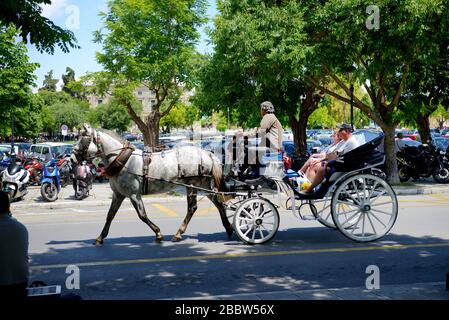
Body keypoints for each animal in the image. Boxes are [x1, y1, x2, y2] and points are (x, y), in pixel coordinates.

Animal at [72, 125, 233, 245]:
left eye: (83, 139)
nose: (72, 158)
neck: (124, 161)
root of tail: (207, 154)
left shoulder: (133, 194)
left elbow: (142, 215)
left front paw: (158, 233)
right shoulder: (118, 194)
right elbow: (110, 215)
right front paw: (100, 237)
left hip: (193, 184)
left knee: (192, 208)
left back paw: (179, 233)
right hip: (203, 185)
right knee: (218, 203)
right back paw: (229, 228)